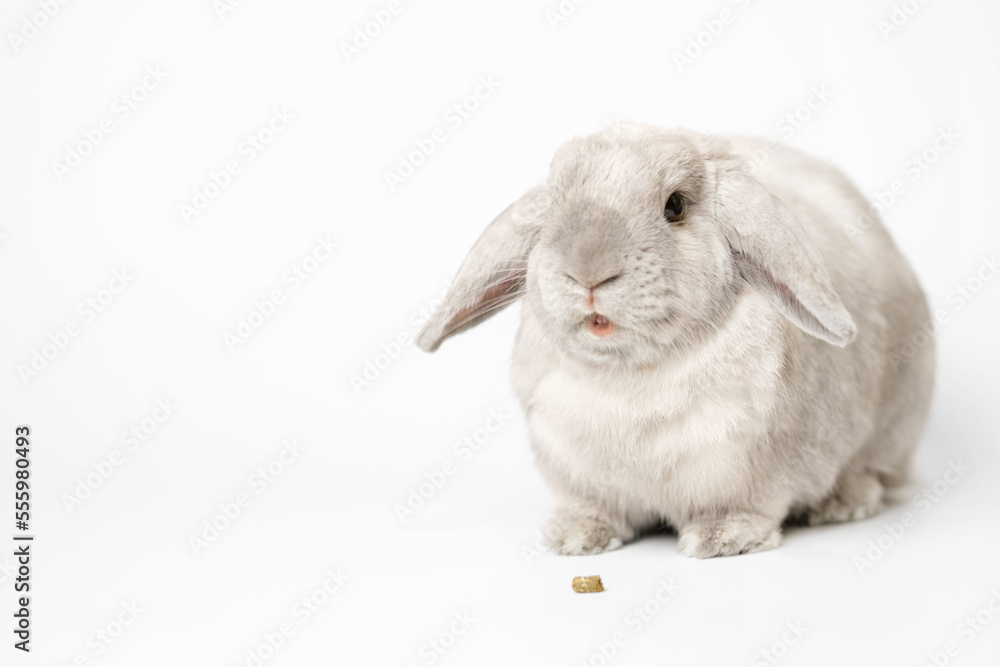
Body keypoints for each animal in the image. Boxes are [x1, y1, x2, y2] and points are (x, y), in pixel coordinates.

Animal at [414, 124, 928, 560]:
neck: (628, 373)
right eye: (556, 205)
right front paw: (575, 537)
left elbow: (748, 507)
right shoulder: (577, 476)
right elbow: (591, 508)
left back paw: (842, 503)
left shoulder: (755, 473)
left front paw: (721, 538)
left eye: (675, 205)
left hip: (891, 432)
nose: (587, 271)